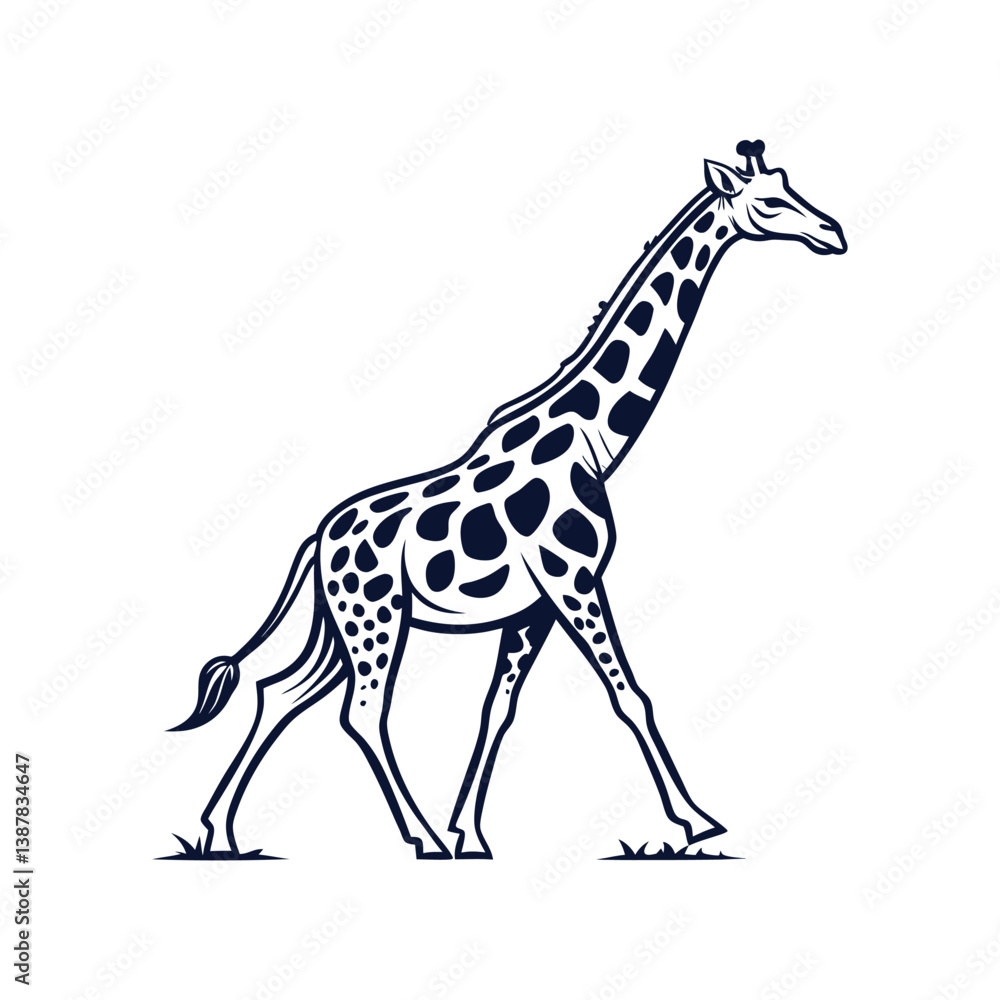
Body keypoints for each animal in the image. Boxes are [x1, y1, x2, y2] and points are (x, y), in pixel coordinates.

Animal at [171, 140, 846, 860]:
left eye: (792, 186)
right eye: (769, 202)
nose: (833, 233)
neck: (592, 438)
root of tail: (317, 539)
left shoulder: (534, 608)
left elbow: (498, 709)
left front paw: (471, 832)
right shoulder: (573, 580)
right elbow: (629, 695)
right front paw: (695, 822)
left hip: (344, 625)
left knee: (281, 693)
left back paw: (219, 830)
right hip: (375, 615)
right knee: (361, 710)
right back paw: (418, 837)